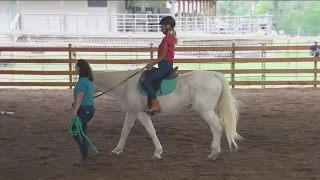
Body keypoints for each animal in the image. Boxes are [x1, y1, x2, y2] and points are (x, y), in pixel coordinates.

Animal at [92, 68, 242, 160]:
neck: (125, 84)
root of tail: (214, 74)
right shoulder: (132, 112)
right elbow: (125, 131)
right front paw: (117, 150)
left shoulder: (141, 113)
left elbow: (151, 131)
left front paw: (157, 152)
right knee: (216, 128)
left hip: (205, 111)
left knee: (218, 126)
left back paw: (214, 153)